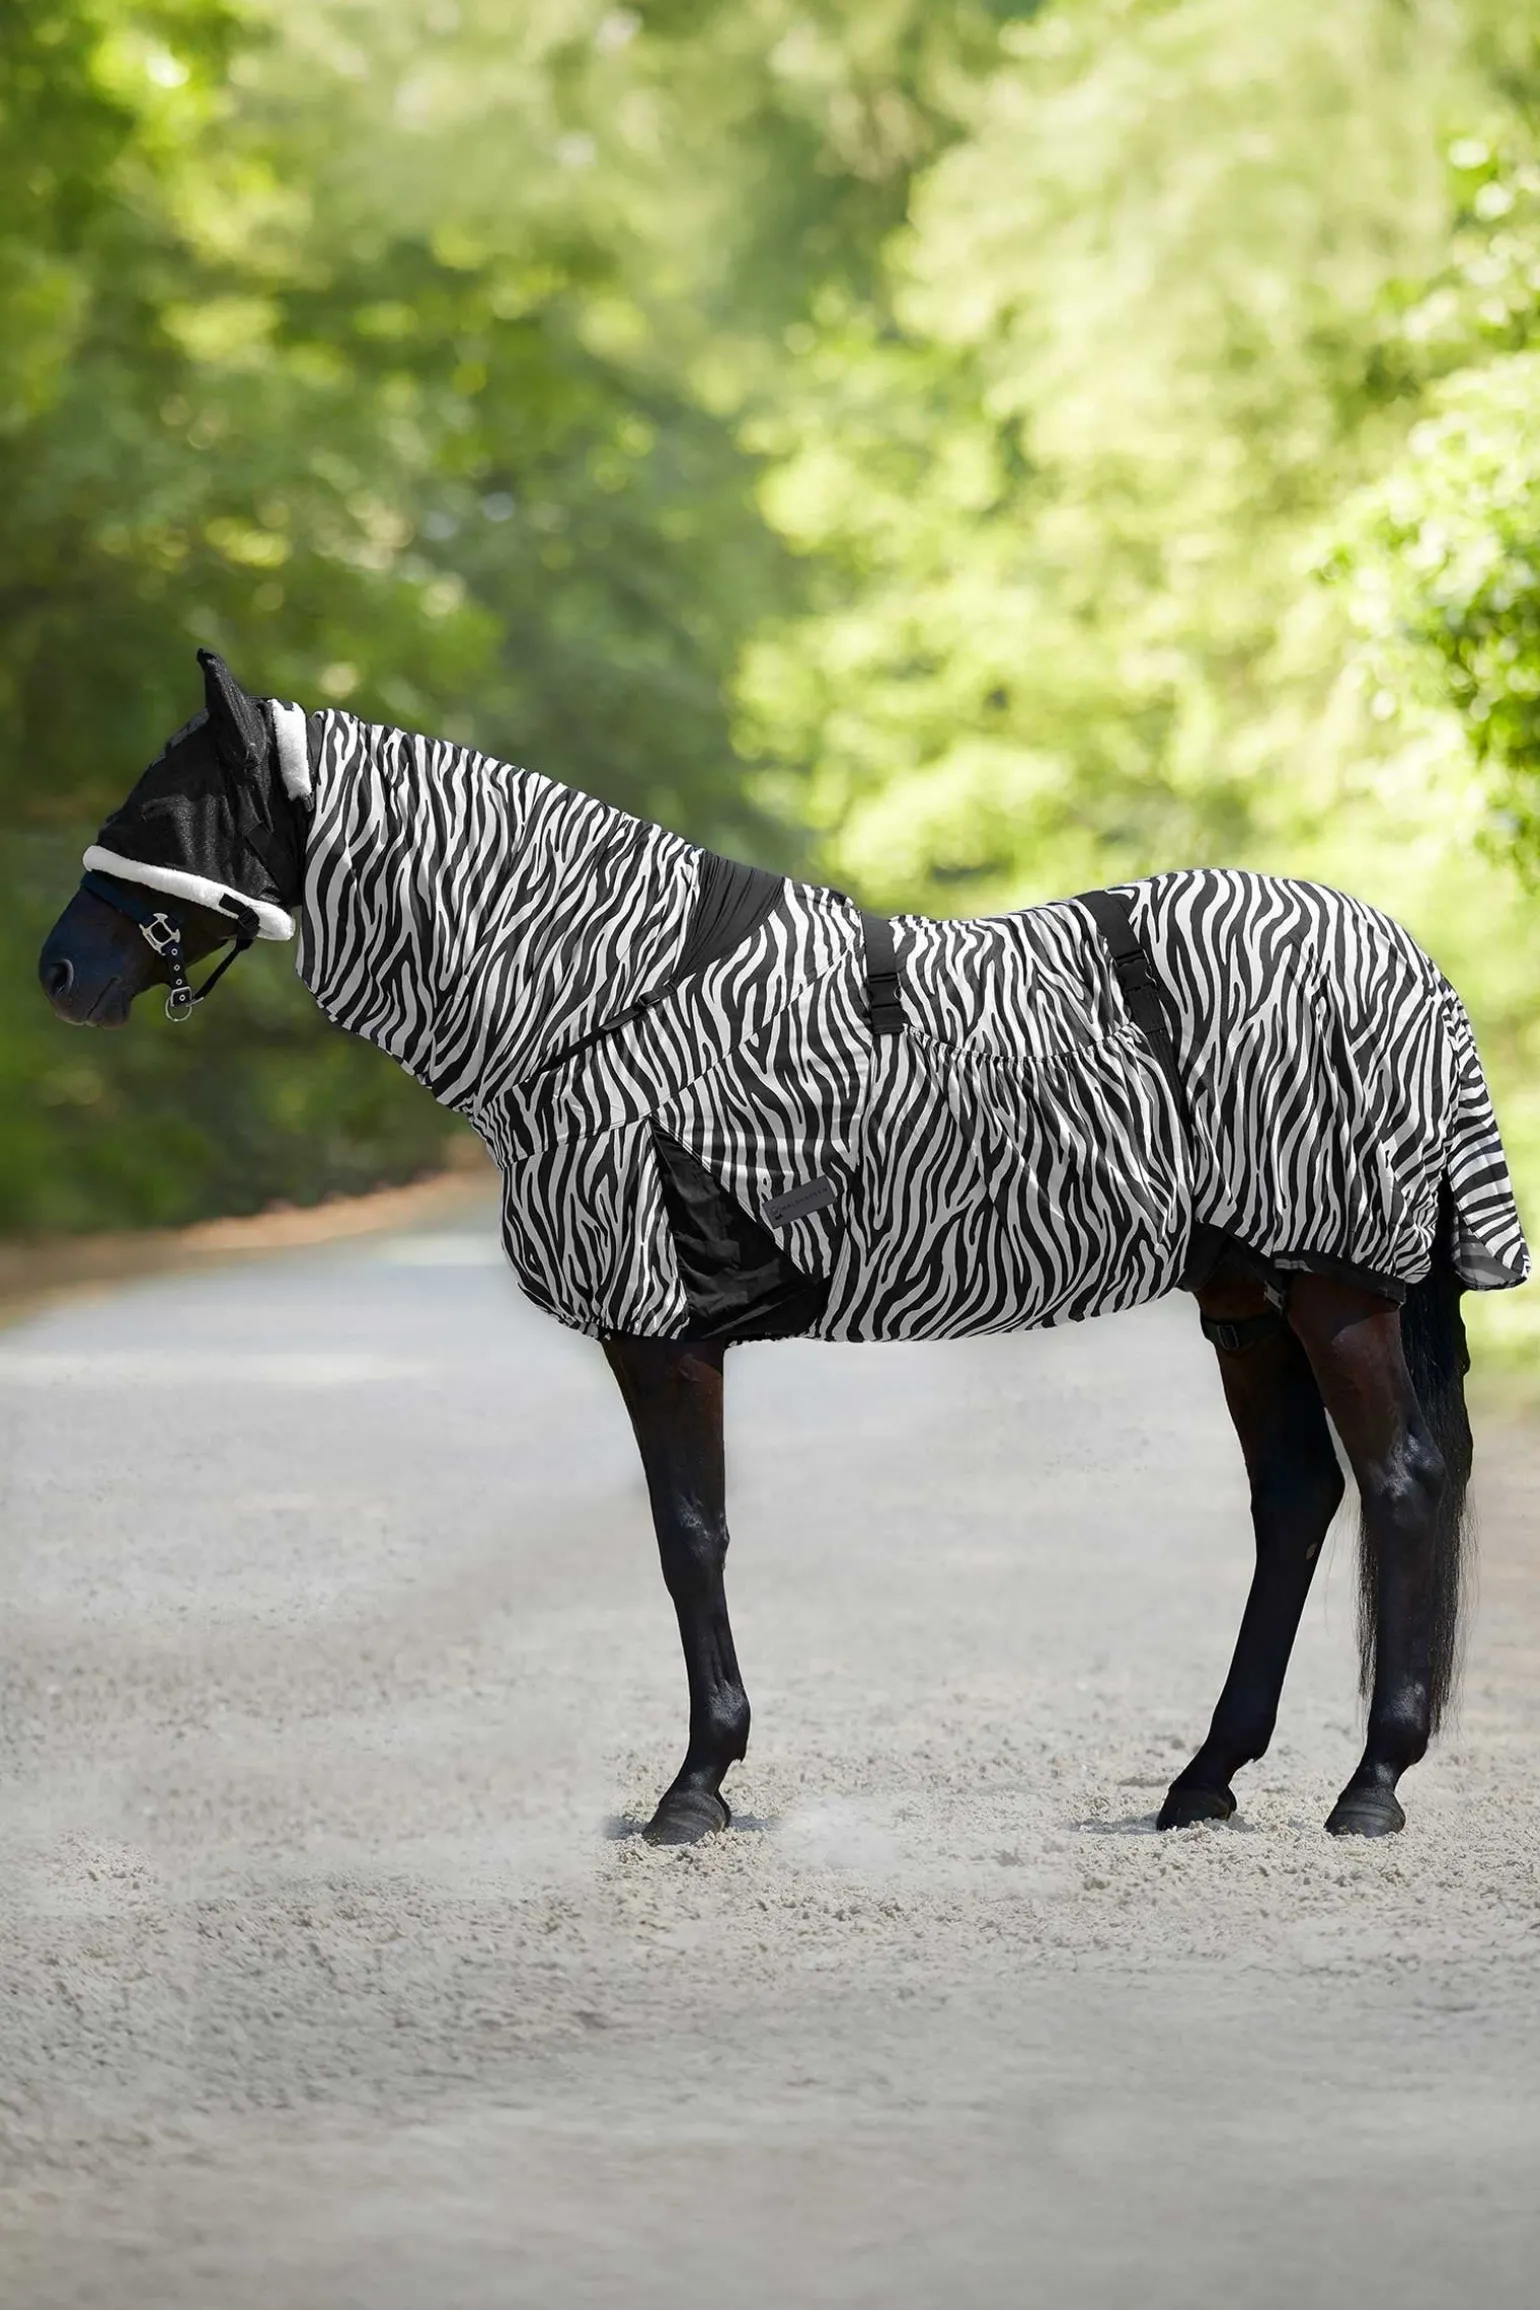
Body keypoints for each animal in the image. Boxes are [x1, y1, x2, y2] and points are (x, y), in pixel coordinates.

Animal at [40, 650, 1529, 1844]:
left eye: (159, 814)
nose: (58, 973)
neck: (595, 996)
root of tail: (1407, 956)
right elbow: (689, 1535)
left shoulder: (658, 1327)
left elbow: (687, 1536)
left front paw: (694, 1787)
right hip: (1246, 1296)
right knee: (1299, 1500)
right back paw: (1203, 1779)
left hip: (1334, 1289)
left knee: (1399, 1484)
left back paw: (1370, 1786)